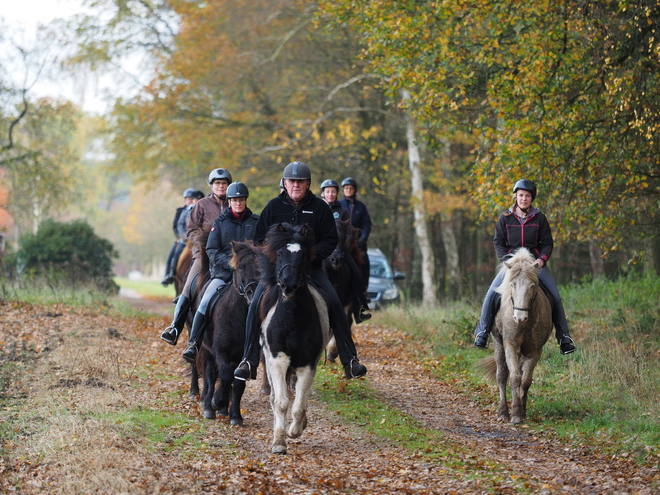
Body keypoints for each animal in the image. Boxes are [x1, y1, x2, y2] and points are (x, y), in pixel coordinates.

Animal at [195, 241, 260, 426]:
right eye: (241, 267)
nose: (253, 294)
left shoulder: (245, 358)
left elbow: (238, 384)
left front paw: (236, 416)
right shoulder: (222, 352)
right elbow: (224, 376)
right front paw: (216, 402)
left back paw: (223, 410)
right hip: (206, 351)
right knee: (211, 375)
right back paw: (210, 407)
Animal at [258, 223, 330, 456]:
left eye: (303, 254)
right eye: (280, 253)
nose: (288, 285)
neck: (292, 318)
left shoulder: (307, 363)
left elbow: (299, 405)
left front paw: (294, 430)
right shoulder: (277, 360)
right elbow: (281, 402)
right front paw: (279, 442)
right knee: (275, 397)